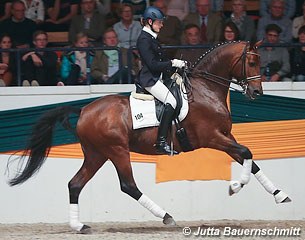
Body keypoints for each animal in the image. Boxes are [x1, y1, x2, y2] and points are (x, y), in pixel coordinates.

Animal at [7, 40, 290, 232]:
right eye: (251, 62)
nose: (256, 92)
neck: (205, 89)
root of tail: (85, 109)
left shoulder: (225, 136)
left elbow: (251, 161)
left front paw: (280, 195)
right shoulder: (212, 137)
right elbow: (247, 153)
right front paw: (234, 187)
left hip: (97, 154)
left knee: (75, 184)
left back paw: (80, 226)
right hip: (117, 151)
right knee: (128, 185)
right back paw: (166, 216)